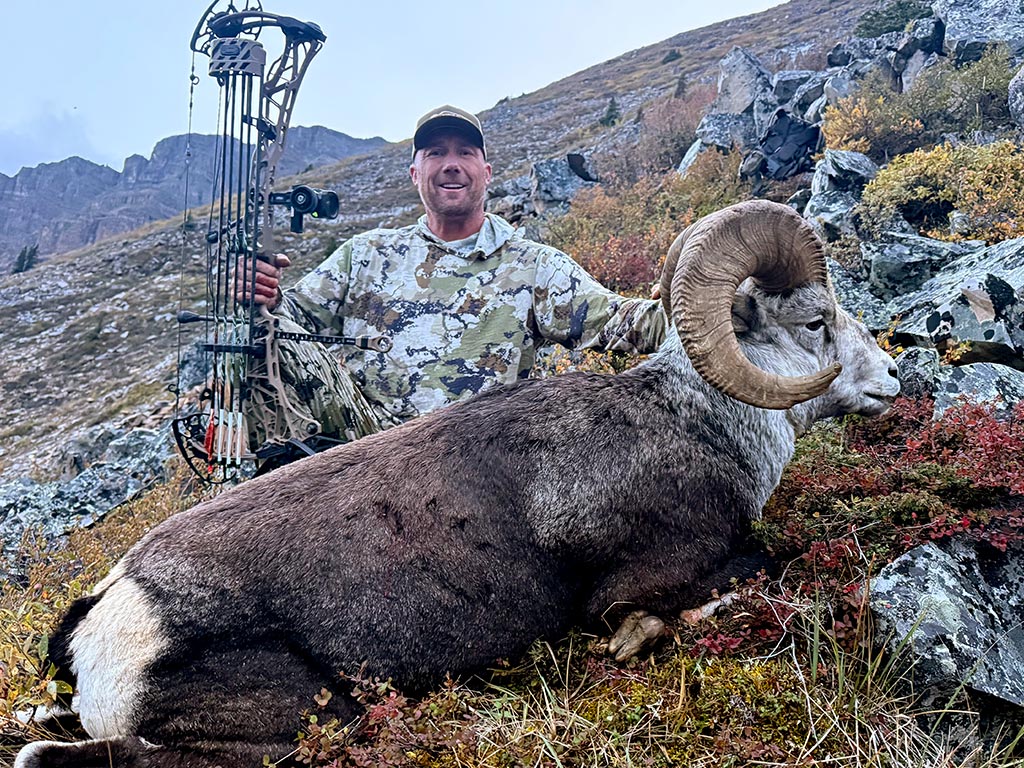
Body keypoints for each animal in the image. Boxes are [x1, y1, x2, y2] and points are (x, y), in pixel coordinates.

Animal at [16, 200, 900, 768]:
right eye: (817, 321)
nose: (892, 376)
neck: (695, 424)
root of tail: (109, 610)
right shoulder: (651, 573)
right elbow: (725, 584)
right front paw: (640, 637)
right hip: (307, 723)